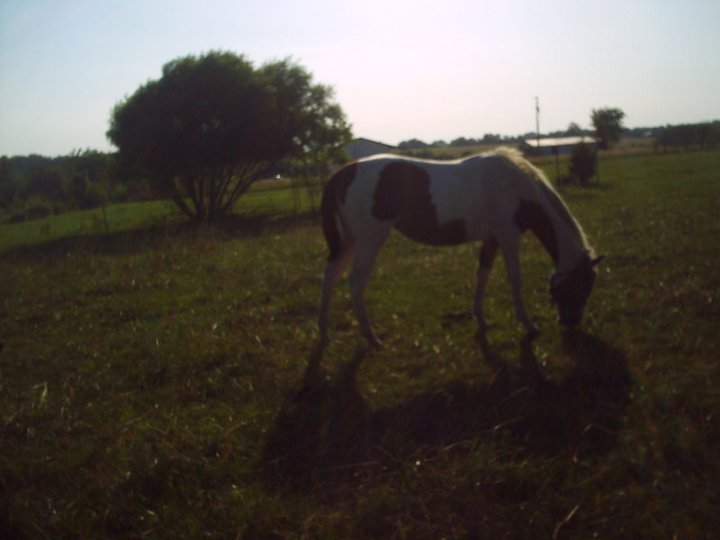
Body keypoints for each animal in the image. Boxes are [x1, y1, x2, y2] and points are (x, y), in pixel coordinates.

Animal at [318, 147, 603, 348]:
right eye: (581, 286)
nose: (571, 324)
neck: (516, 187)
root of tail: (344, 171)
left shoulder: (492, 239)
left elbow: (483, 274)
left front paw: (481, 319)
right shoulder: (508, 236)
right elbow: (515, 278)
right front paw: (529, 325)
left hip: (351, 241)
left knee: (331, 275)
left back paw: (324, 333)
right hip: (369, 240)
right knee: (355, 282)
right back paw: (371, 338)